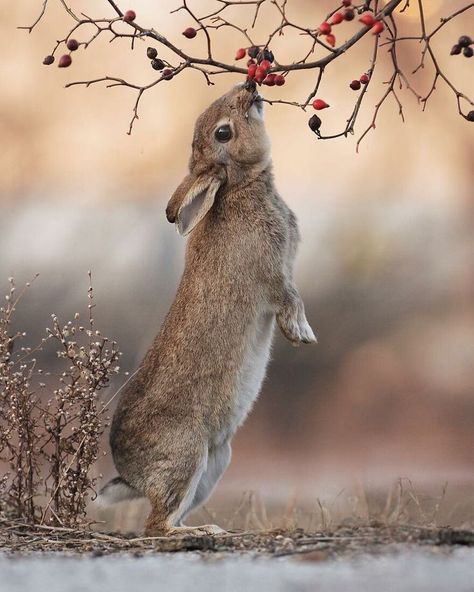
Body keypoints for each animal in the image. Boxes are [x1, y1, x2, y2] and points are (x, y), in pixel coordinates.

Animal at [101, 81, 314, 540]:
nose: (249, 86)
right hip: (187, 456)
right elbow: (291, 298)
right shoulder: (273, 275)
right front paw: (301, 334)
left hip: (216, 462)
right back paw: (202, 533)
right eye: (224, 133)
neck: (238, 185)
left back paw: (210, 528)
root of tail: (130, 474)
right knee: (156, 525)